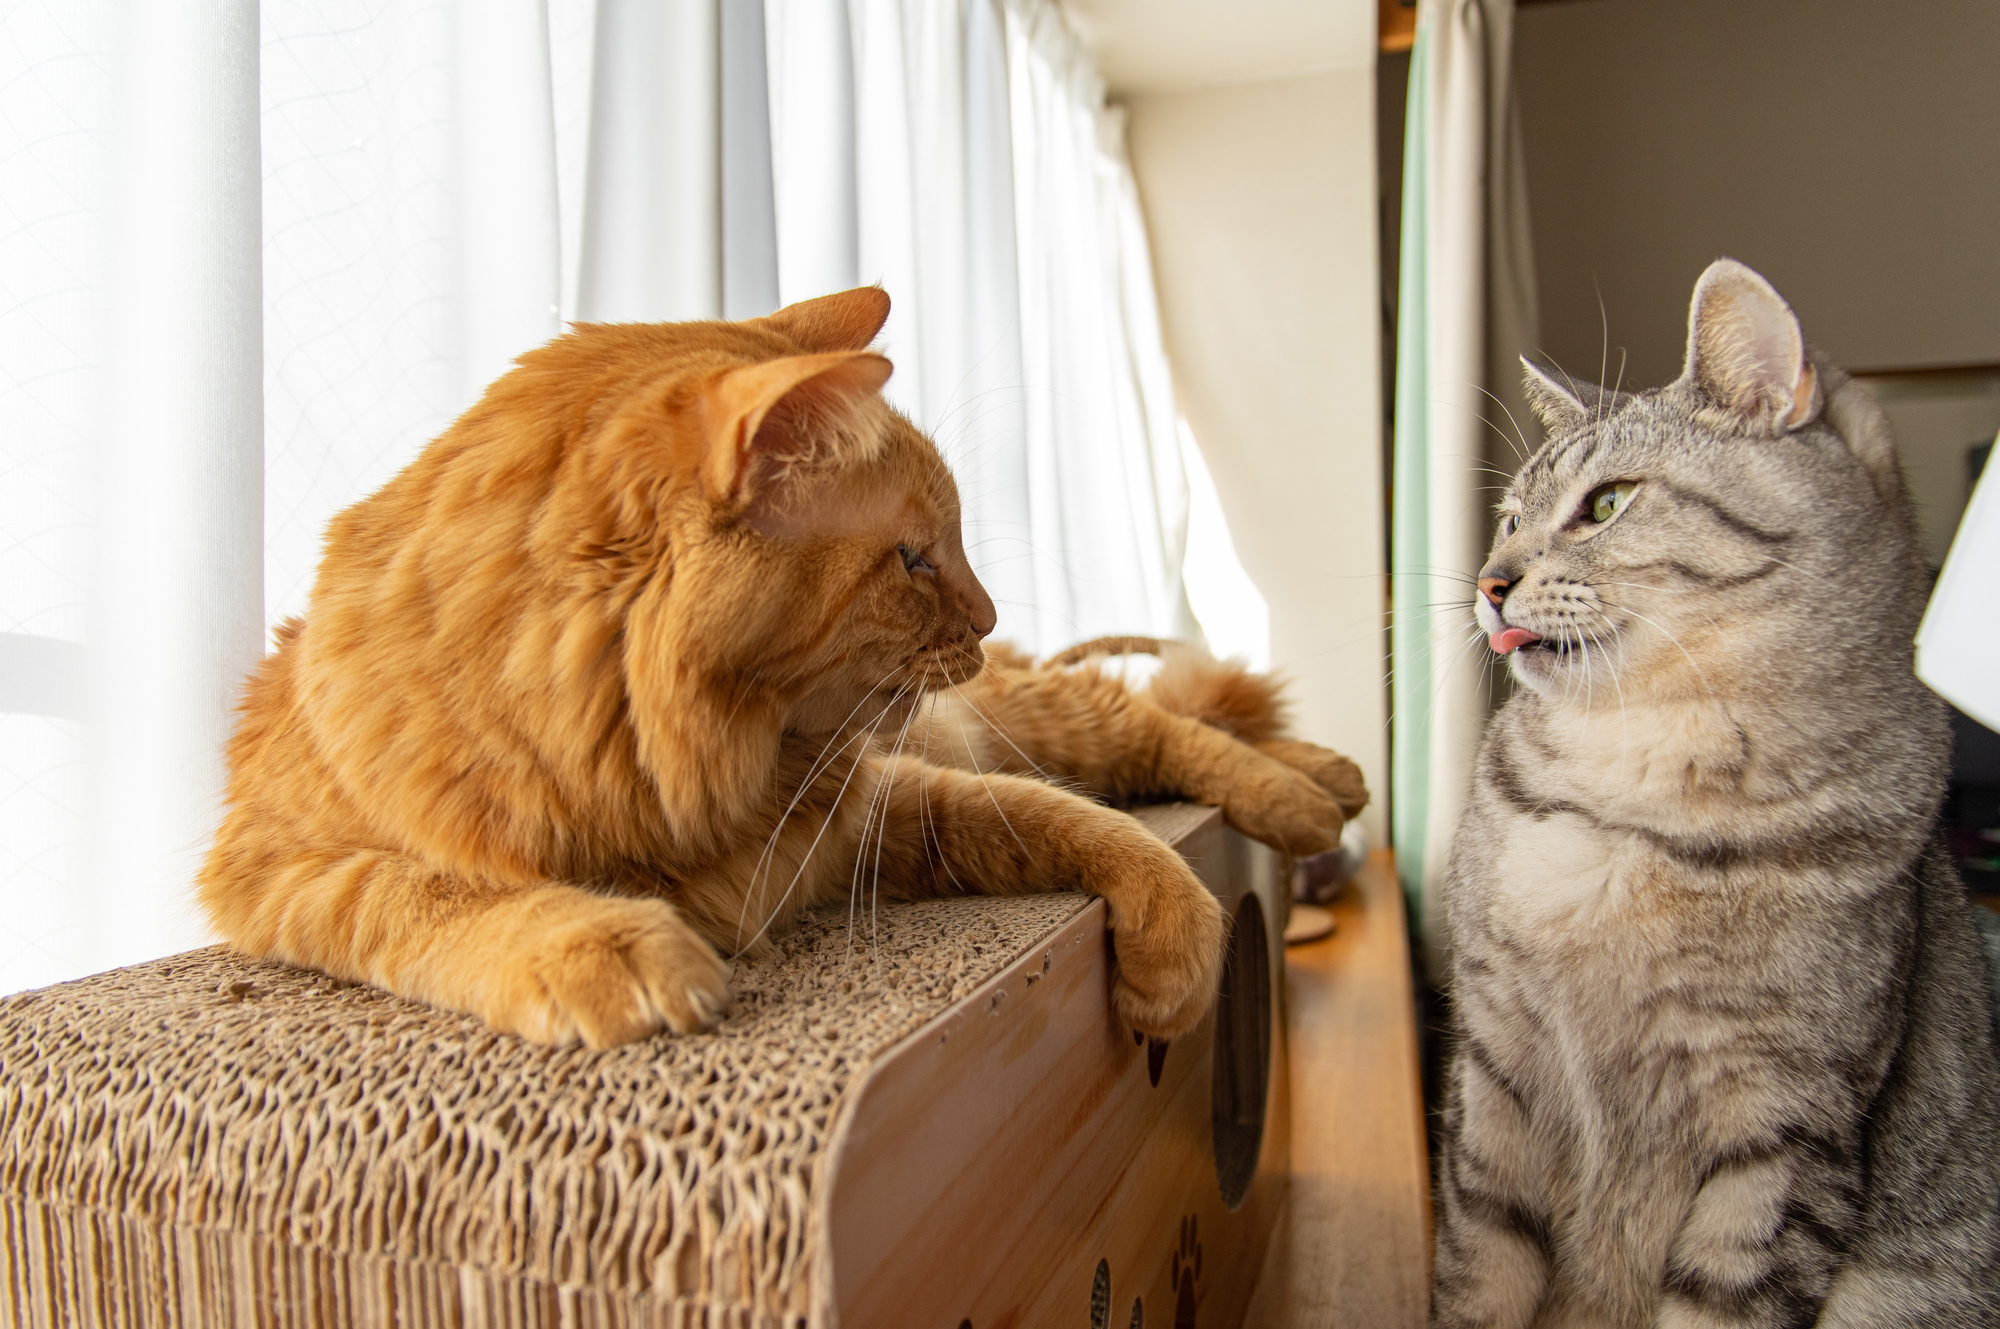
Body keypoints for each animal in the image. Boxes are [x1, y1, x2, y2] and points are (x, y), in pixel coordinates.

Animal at [199, 290, 1360, 1048]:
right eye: (914, 558)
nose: (988, 616)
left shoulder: (879, 806)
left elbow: (1095, 829)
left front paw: (1177, 946)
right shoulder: (275, 871)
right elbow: (426, 895)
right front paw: (601, 941)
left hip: (1026, 716)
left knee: (1173, 732)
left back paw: (1314, 793)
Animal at [1432, 260, 2000, 1329]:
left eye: (1606, 504)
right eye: (1511, 515)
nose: (1487, 580)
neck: (1631, 799)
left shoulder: (1787, 1126)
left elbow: (1726, 1297)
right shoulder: (1490, 1067)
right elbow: (1477, 1271)